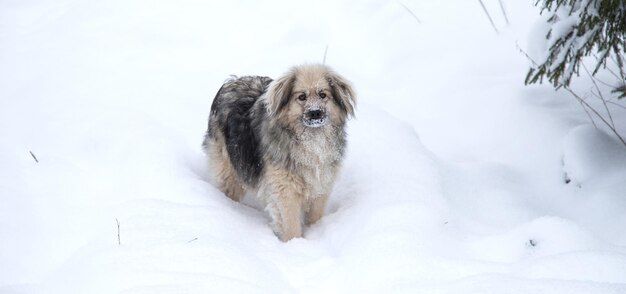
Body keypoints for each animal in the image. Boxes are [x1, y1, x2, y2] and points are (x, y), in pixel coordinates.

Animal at [202, 64, 354, 241]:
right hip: (230, 168)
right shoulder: (285, 190)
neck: (311, 140)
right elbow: (291, 224)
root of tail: (231, 81)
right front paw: (294, 243)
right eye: (301, 97)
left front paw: (314, 231)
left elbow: (314, 215)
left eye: (323, 95)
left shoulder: (321, 186)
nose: (315, 112)